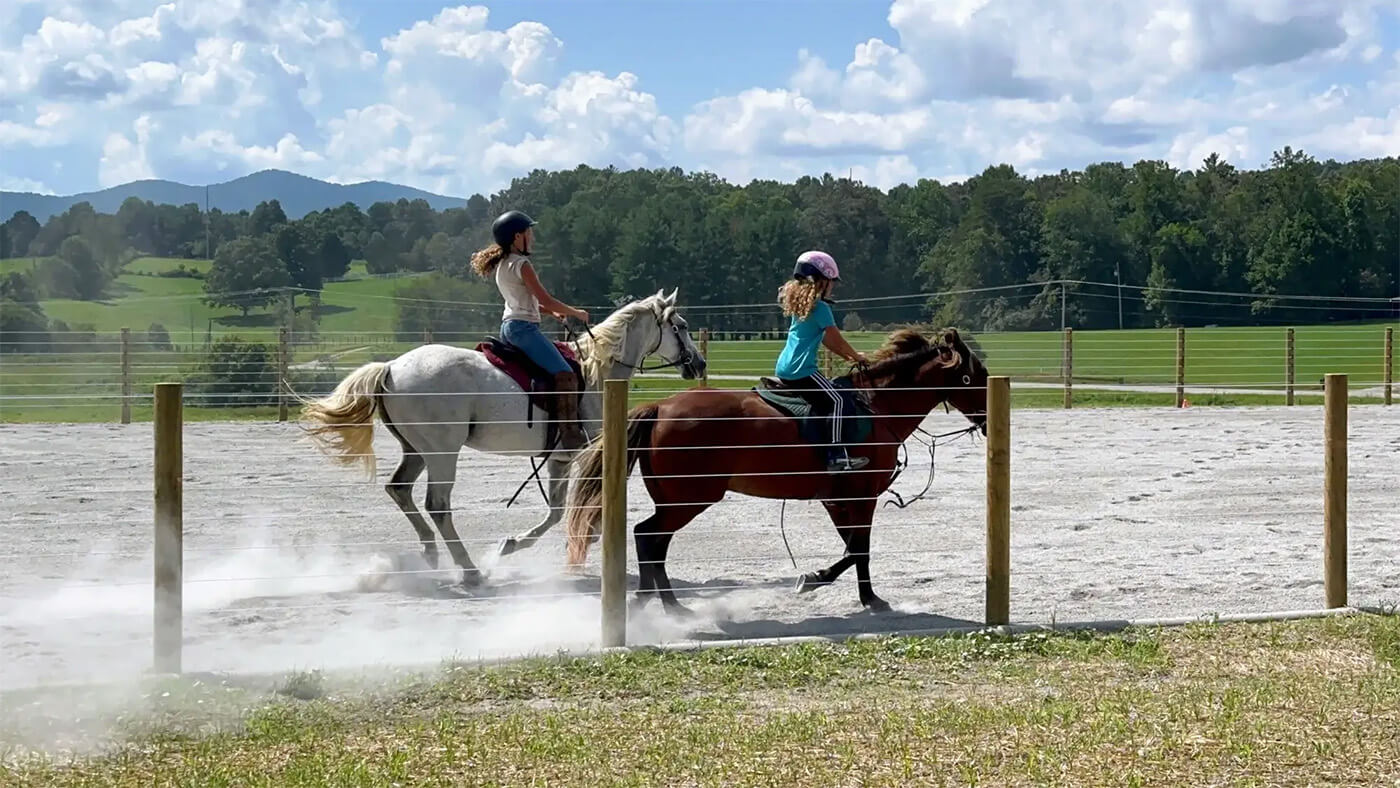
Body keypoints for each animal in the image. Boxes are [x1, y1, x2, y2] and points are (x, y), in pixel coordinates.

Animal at [292, 289, 707, 585]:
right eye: (683, 325)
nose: (699, 364)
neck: (598, 371)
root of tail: (392, 367)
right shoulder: (582, 455)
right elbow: (575, 511)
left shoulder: (559, 460)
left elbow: (556, 512)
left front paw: (519, 545)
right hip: (443, 453)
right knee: (437, 505)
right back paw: (469, 570)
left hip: (417, 449)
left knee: (399, 489)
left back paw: (429, 555)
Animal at [563, 327, 988, 615]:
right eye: (975, 376)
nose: (986, 420)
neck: (875, 407)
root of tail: (661, 407)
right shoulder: (862, 496)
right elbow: (859, 549)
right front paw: (833, 585)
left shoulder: (837, 499)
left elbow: (852, 548)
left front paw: (853, 591)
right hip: (689, 499)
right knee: (649, 538)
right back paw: (667, 604)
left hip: (674, 501)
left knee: (650, 541)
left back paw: (651, 599)